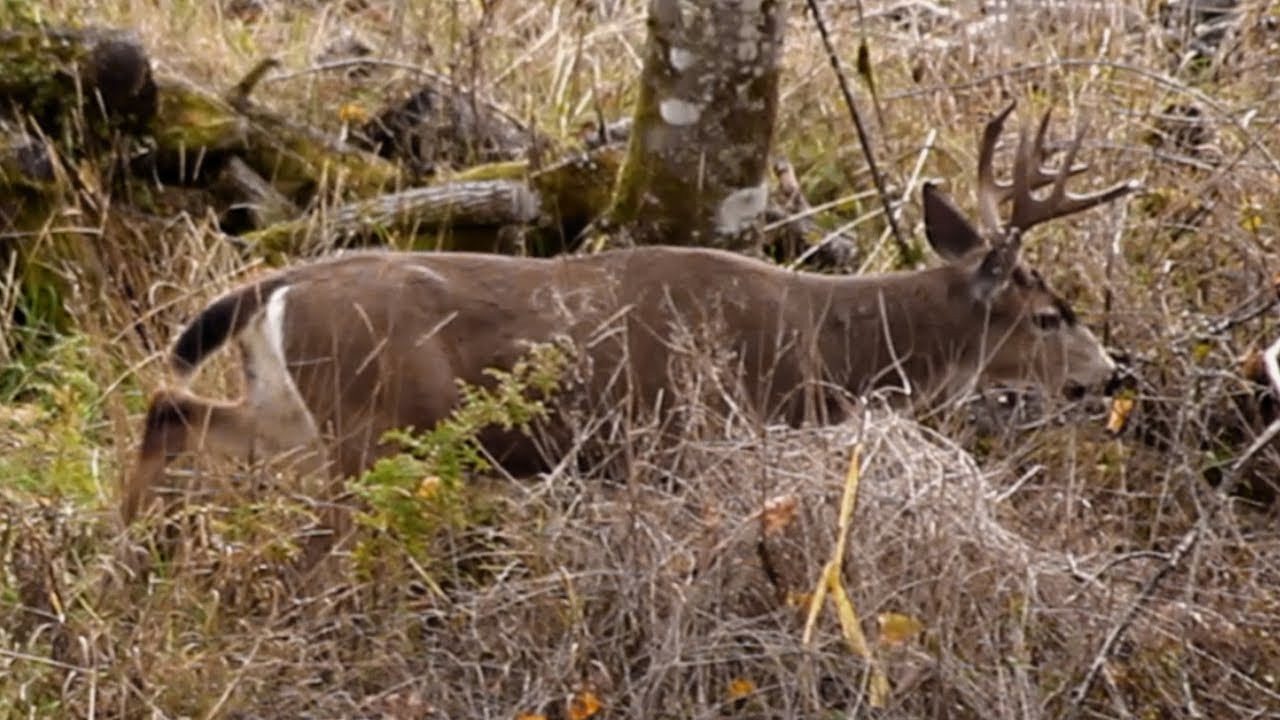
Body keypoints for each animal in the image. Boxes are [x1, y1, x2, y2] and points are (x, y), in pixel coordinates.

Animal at [122, 102, 1137, 526]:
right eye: (1051, 316)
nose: (1109, 375)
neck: (828, 345)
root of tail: (274, 286)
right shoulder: (694, 433)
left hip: (291, 408)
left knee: (171, 410)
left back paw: (133, 557)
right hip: (372, 423)